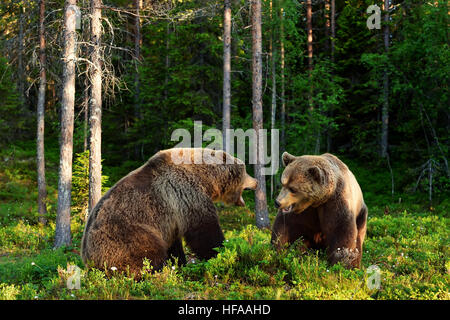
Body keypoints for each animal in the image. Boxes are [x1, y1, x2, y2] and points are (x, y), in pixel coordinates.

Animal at [81, 149, 256, 276]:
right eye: (246, 171)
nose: (256, 181)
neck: (206, 179)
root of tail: (88, 259)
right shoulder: (187, 194)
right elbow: (204, 232)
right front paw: (222, 252)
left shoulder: (172, 219)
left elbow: (175, 244)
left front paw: (180, 263)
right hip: (126, 234)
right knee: (148, 252)